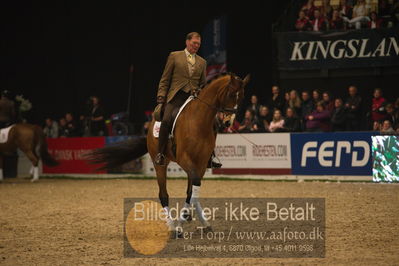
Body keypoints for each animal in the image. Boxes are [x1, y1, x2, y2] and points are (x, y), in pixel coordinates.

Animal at [90, 72, 250, 235]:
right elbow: (191, 190)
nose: (228, 123)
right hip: (160, 164)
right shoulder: (184, 159)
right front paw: (180, 224)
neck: (199, 121)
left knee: (189, 191)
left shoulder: (201, 163)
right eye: (231, 94)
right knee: (163, 194)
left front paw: (193, 220)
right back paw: (172, 226)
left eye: (242, 97)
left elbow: (192, 193)